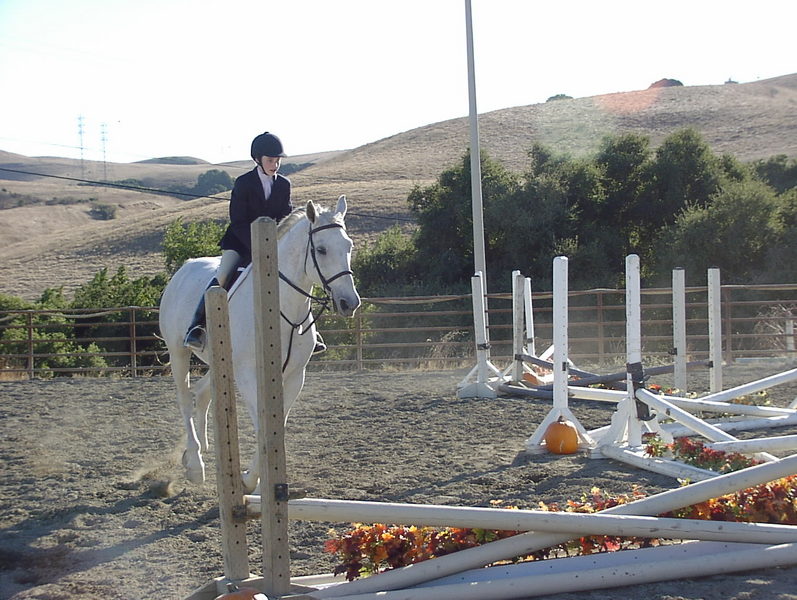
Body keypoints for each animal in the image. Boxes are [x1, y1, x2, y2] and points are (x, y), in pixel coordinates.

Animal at [159, 195, 361, 490]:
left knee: (203, 392)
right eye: (321, 250)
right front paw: (249, 480)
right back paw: (195, 463)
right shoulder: (247, 374)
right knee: (185, 399)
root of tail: (184, 268)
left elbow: (280, 425)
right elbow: (263, 424)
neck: (283, 307)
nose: (350, 303)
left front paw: (253, 477)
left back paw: (201, 451)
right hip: (178, 353)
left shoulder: (294, 376)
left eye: (349, 246)